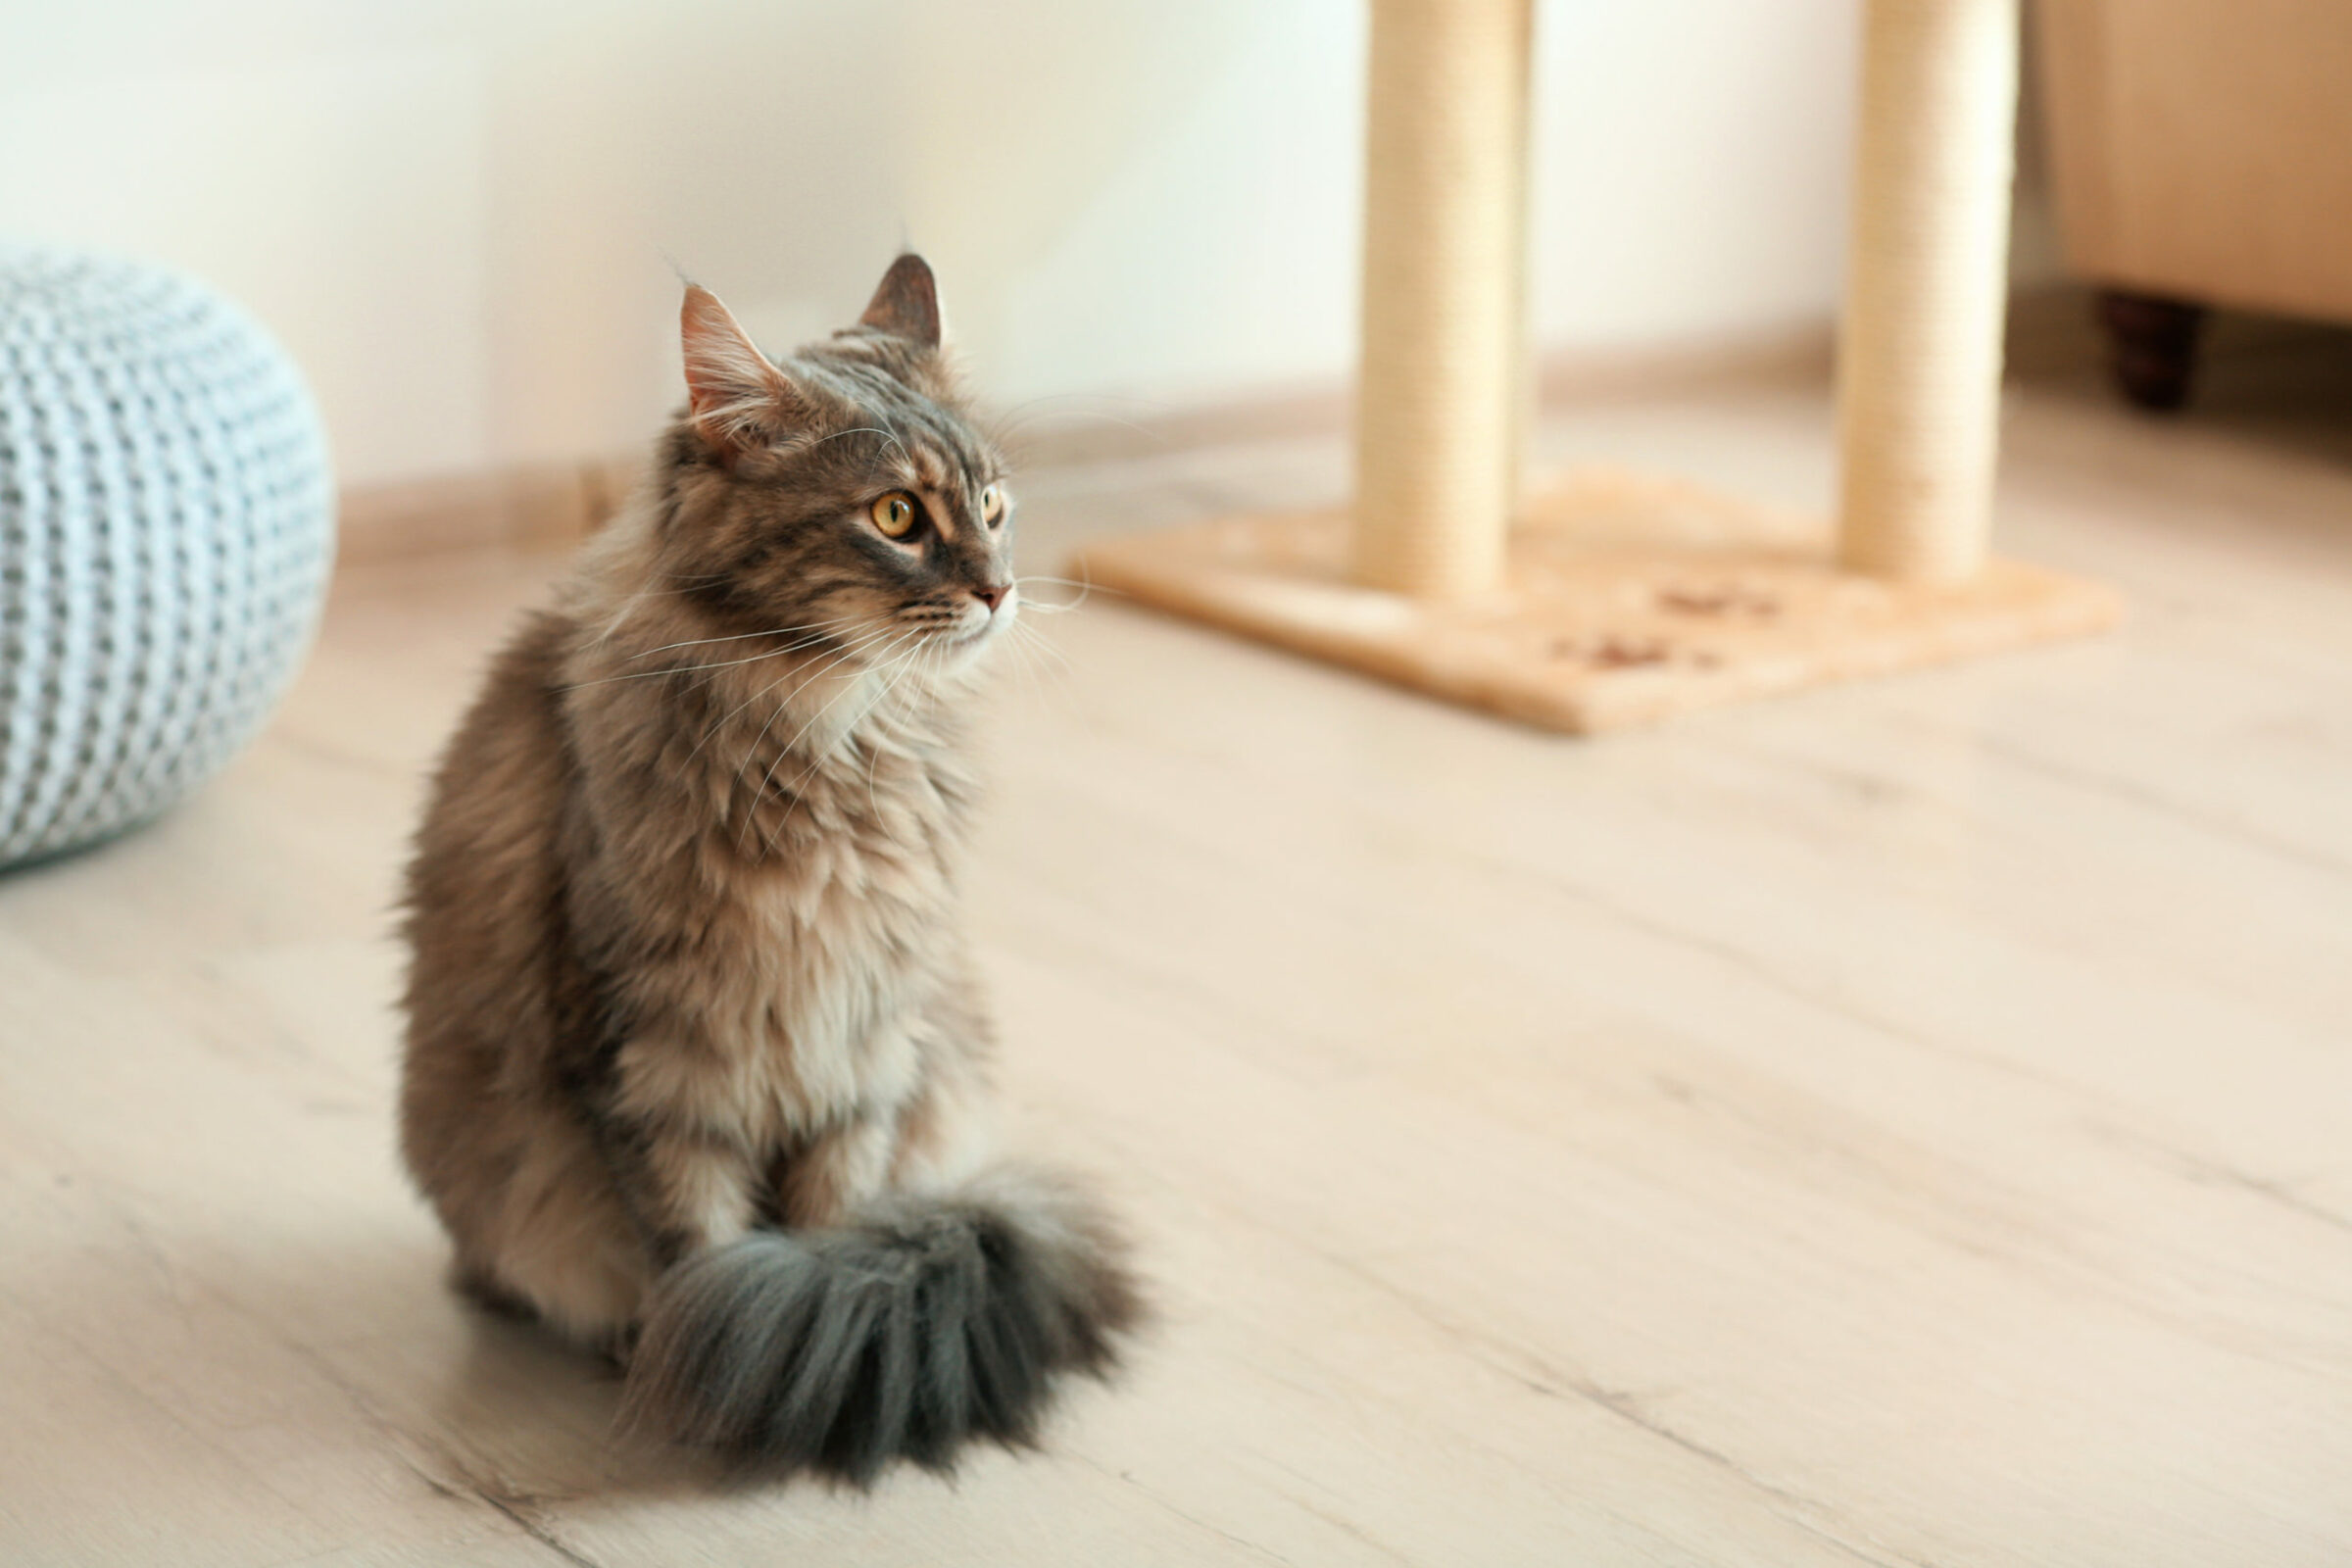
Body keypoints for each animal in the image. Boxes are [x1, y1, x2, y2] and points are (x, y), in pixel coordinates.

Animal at [395, 255, 1138, 1486]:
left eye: (992, 506)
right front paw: (715, 1362)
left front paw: (804, 1329)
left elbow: (829, 1224)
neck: (831, 747)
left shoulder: (863, 1051)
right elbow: (694, 1239)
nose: (999, 589)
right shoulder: (653, 1065)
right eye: (896, 516)